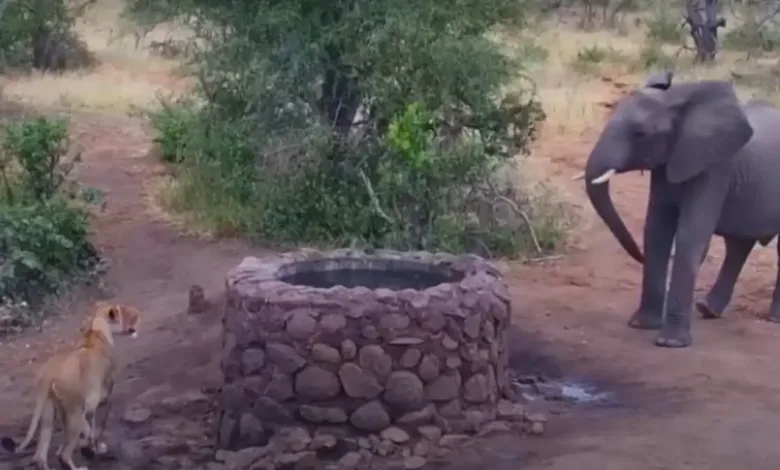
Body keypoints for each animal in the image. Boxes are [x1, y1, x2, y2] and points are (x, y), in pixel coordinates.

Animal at [1, 302, 141, 470]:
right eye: (129, 315)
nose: (139, 318)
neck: (96, 331)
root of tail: (49, 372)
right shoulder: (101, 396)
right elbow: (98, 423)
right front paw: (96, 447)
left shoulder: (88, 403)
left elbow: (88, 426)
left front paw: (90, 446)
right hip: (73, 410)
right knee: (63, 453)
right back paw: (77, 466)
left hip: (49, 411)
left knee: (40, 455)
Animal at [578, 71, 780, 348]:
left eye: (641, 133)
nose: (638, 257)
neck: (677, 102)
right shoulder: (668, 163)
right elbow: (656, 230)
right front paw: (641, 325)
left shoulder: (715, 168)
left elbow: (689, 236)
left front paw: (670, 343)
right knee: (739, 244)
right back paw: (707, 310)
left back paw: (774, 319)